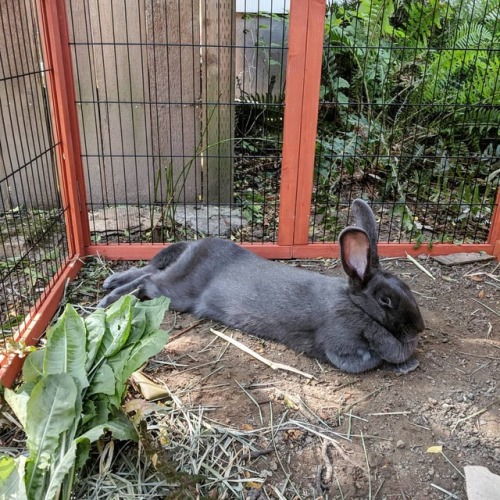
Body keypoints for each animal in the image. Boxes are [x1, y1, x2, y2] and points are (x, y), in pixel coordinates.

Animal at [98, 201, 426, 374]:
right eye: (385, 300)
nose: (419, 329)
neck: (355, 305)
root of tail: (194, 247)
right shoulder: (340, 345)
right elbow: (371, 359)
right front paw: (404, 362)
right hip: (176, 292)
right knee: (149, 282)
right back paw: (109, 300)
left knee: (150, 270)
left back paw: (109, 283)